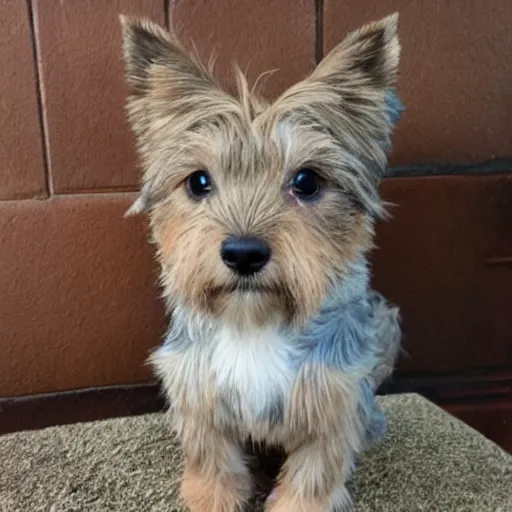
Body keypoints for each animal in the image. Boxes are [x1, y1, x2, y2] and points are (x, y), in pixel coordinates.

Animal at [121, 13, 404, 512]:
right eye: (198, 181)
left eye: (307, 181)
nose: (243, 253)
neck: (253, 321)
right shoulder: (196, 390)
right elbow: (212, 458)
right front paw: (211, 496)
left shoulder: (335, 398)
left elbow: (313, 474)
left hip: (385, 322)